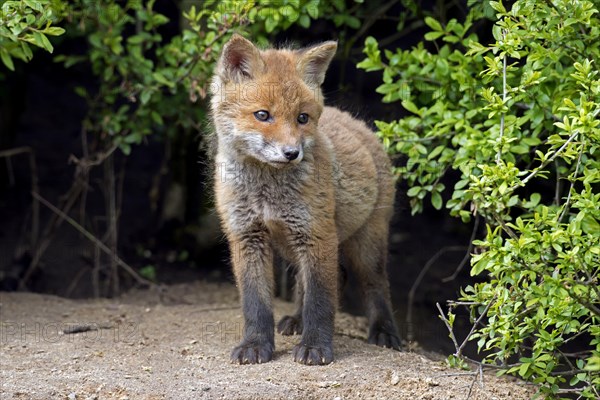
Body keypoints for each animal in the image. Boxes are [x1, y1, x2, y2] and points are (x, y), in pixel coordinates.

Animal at [209, 34, 400, 366]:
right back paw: (297, 320)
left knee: (374, 285)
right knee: (315, 282)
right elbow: (256, 304)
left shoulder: (317, 234)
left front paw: (315, 347)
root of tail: (357, 122)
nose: (291, 153)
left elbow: (320, 301)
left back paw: (384, 331)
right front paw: (255, 344)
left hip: (366, 246)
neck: (267, 193)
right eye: (262, 115)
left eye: (302, 118)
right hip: (294, 246)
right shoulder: (247, 235)